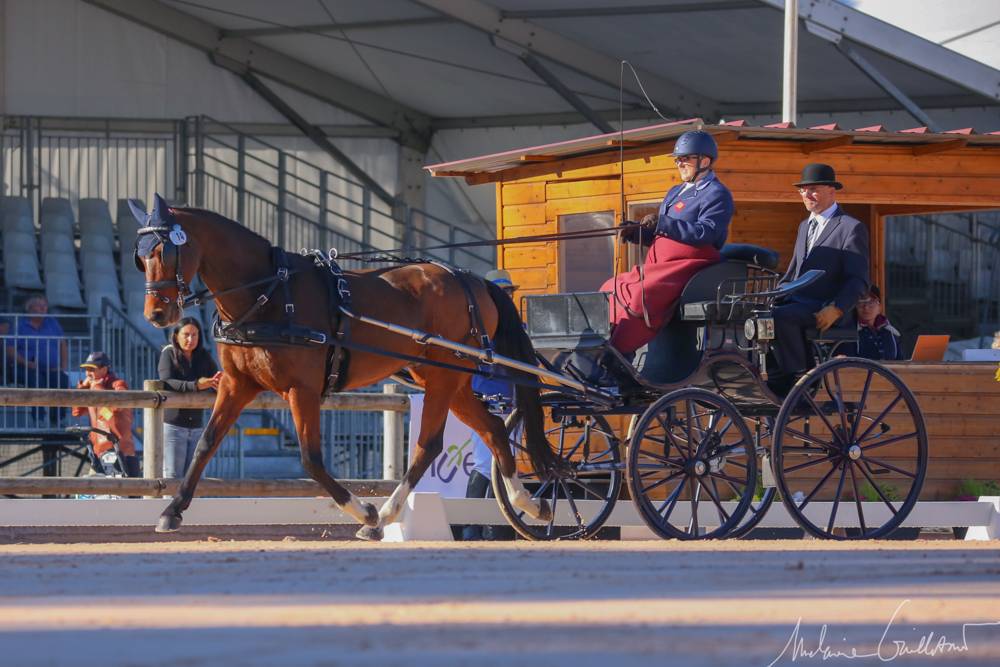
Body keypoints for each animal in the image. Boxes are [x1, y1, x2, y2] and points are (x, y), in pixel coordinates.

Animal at [128, 196, 556, 540]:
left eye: (166, 252)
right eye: (140, 257)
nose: (156, 314)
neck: (268, 292)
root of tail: (470, 279)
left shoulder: (302, 389)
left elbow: (310, 458)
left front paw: (361, 509)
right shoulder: (237, 383)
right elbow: (205, 443)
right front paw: (172, 511)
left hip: (443, 376)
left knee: (428, 444)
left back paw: (384, 514)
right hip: (448, 378)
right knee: (493, 428)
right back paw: (529, 503)